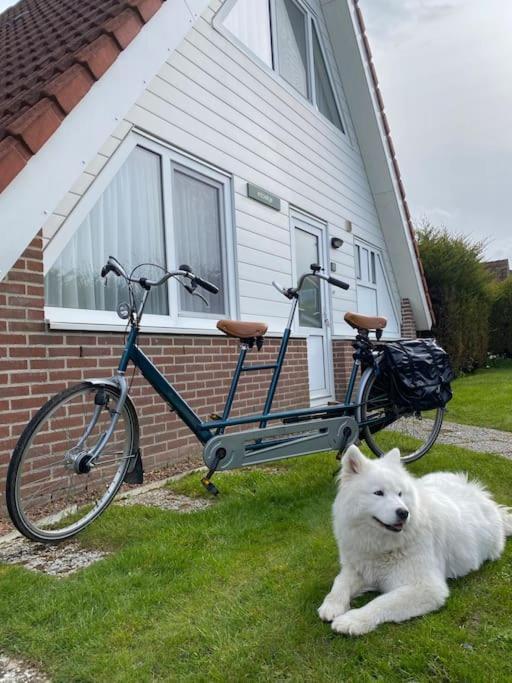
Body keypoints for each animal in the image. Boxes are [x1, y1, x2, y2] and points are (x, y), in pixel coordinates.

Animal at [318, 444, 510, 636]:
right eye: (378, 493)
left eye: (400, 494)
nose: (404, 512)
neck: (381, 546)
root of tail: (480, 493)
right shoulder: (359, 569)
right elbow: (339, 583)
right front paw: (331, 605)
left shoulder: (426, 588)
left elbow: (381, 602)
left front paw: (352, 620)